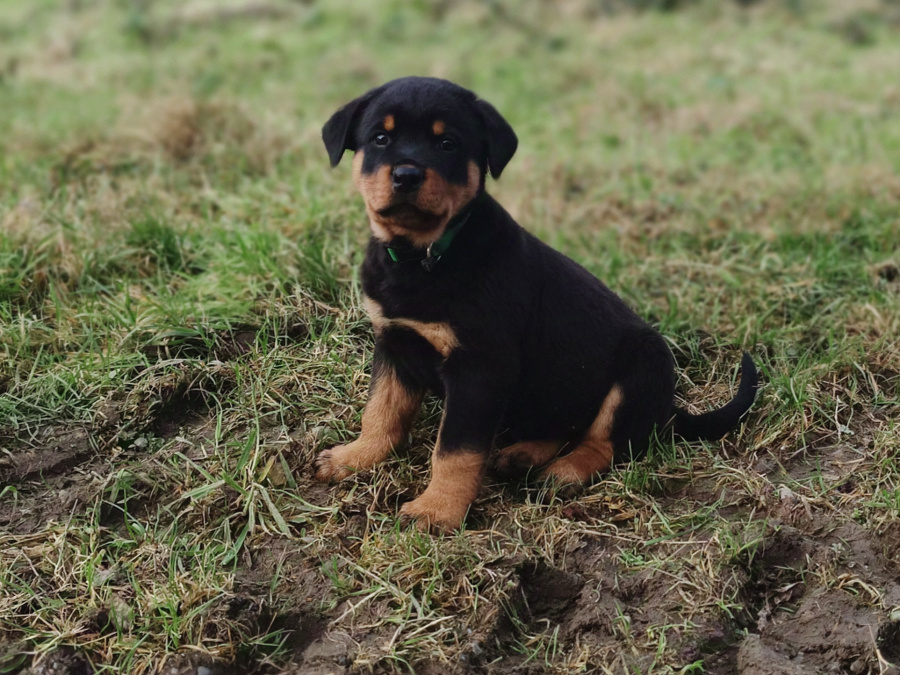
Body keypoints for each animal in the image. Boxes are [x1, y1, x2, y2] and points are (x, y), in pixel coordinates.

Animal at [316, 76, 760, 532]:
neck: (424, 256)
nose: (406, 174)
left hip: (641, 365)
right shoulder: (392, 341)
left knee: (605, 441)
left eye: (447, 144)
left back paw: (562, 473)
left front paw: (436, 511)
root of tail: (668, 409)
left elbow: (454, 449)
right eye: (380, 138)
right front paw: (354, 458)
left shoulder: (479, 368)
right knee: (563, 422)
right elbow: (381, 410)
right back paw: (522, 455)